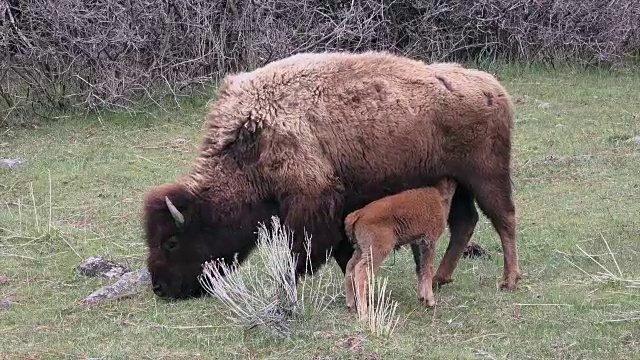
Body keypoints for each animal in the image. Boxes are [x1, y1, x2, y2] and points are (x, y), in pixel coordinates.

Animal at [142, 50, 524, 298]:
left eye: (171, 242)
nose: (160, 288)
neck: (254, 137)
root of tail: (493, 88)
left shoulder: (312, 203)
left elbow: (303, 252)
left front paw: (284, 286)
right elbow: (342, 252)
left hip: (486, 177)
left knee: (504, 219)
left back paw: (508, 281)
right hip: (455, 184)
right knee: (465, 222)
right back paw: (442, 278)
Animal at [342, 177, 458, 312]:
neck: (439, 194)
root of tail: (359, 213)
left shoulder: (417, 243)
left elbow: (420, 268)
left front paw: (422, 297)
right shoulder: (429, 241)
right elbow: (428, 268)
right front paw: (430, 301)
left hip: (360, 249)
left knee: (350, 267)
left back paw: (350, 304)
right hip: (377, 250)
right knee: (361, 271)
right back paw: (364, 311)